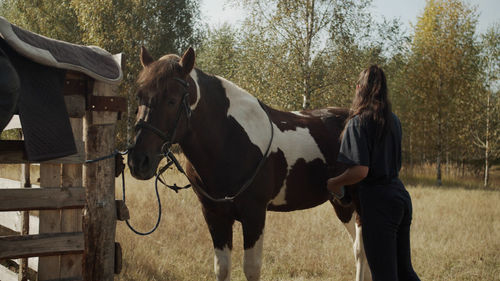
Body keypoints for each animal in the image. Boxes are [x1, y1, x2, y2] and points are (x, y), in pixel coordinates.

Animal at [129, 47, 372, 278]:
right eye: (139, 97)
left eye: (171, 100)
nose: (138, 161)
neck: (229, 140)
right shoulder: (214, 214)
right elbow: (222, 268)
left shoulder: (254, 214)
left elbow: (252, 269)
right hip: (342, 203)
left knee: (362, 250)